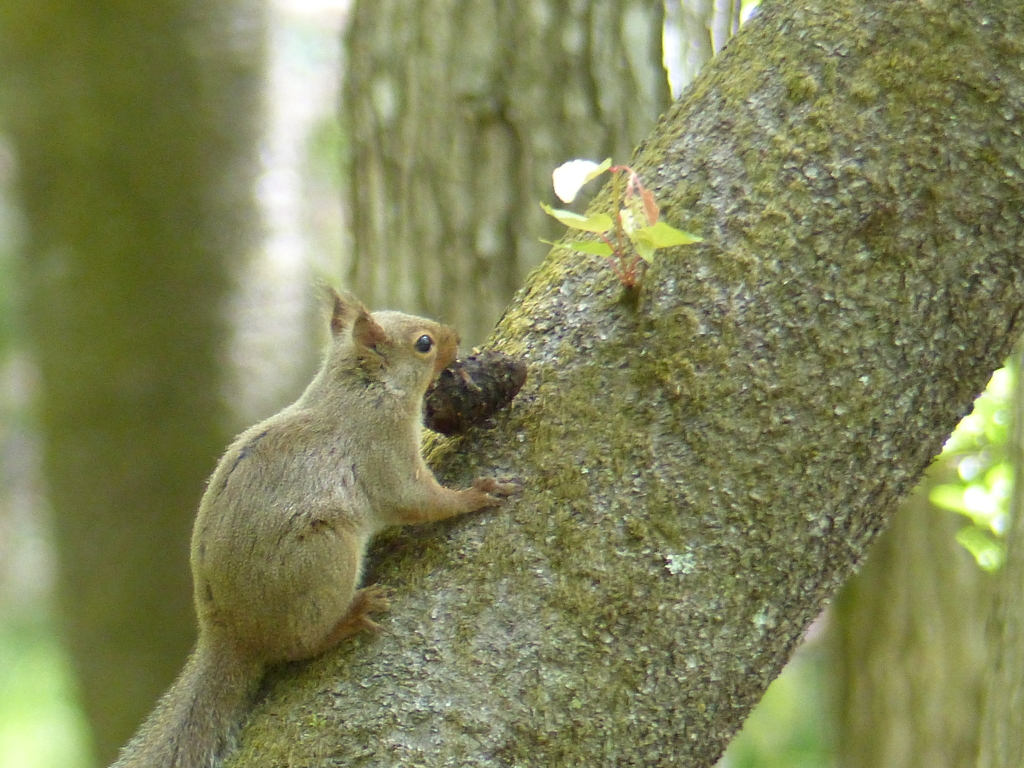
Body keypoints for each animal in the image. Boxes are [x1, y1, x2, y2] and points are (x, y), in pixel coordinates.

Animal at [112, 290, 516, 768]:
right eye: (424, 344)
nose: (455, 336)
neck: (362, 388)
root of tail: (232, 633)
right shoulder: (381, 444)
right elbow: (416, 499)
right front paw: (476, 494)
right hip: (324, 557)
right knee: (298, 646)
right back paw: (350, 616)